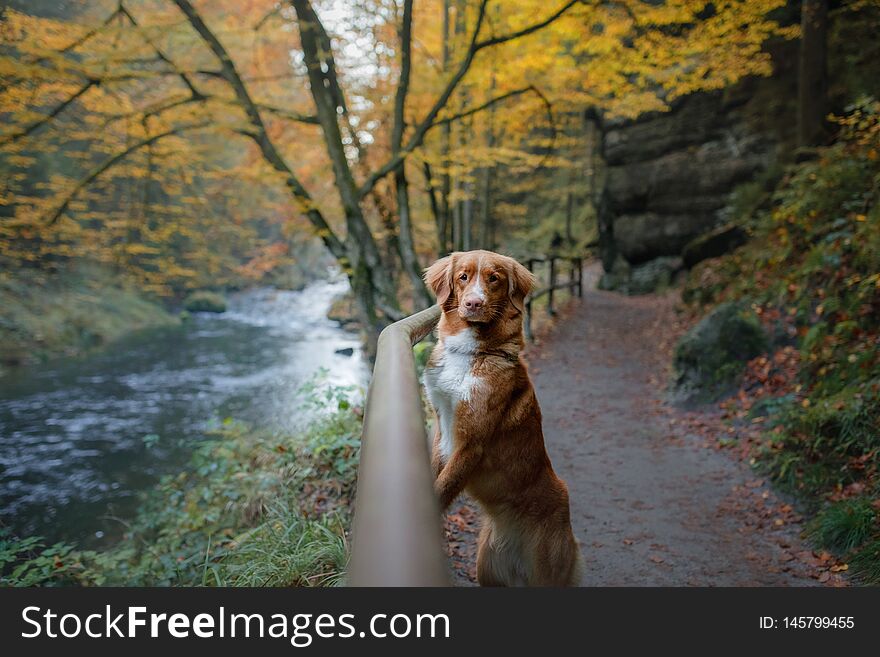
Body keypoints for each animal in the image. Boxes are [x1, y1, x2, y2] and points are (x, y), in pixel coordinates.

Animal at [422, 250, 580, 584]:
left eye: (494, 279)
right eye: (463, 277)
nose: (473, 303)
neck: (470, 354)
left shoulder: (471, 444)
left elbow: (442, 487)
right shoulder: (442, 427)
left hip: (547, 572)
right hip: (487, 568)